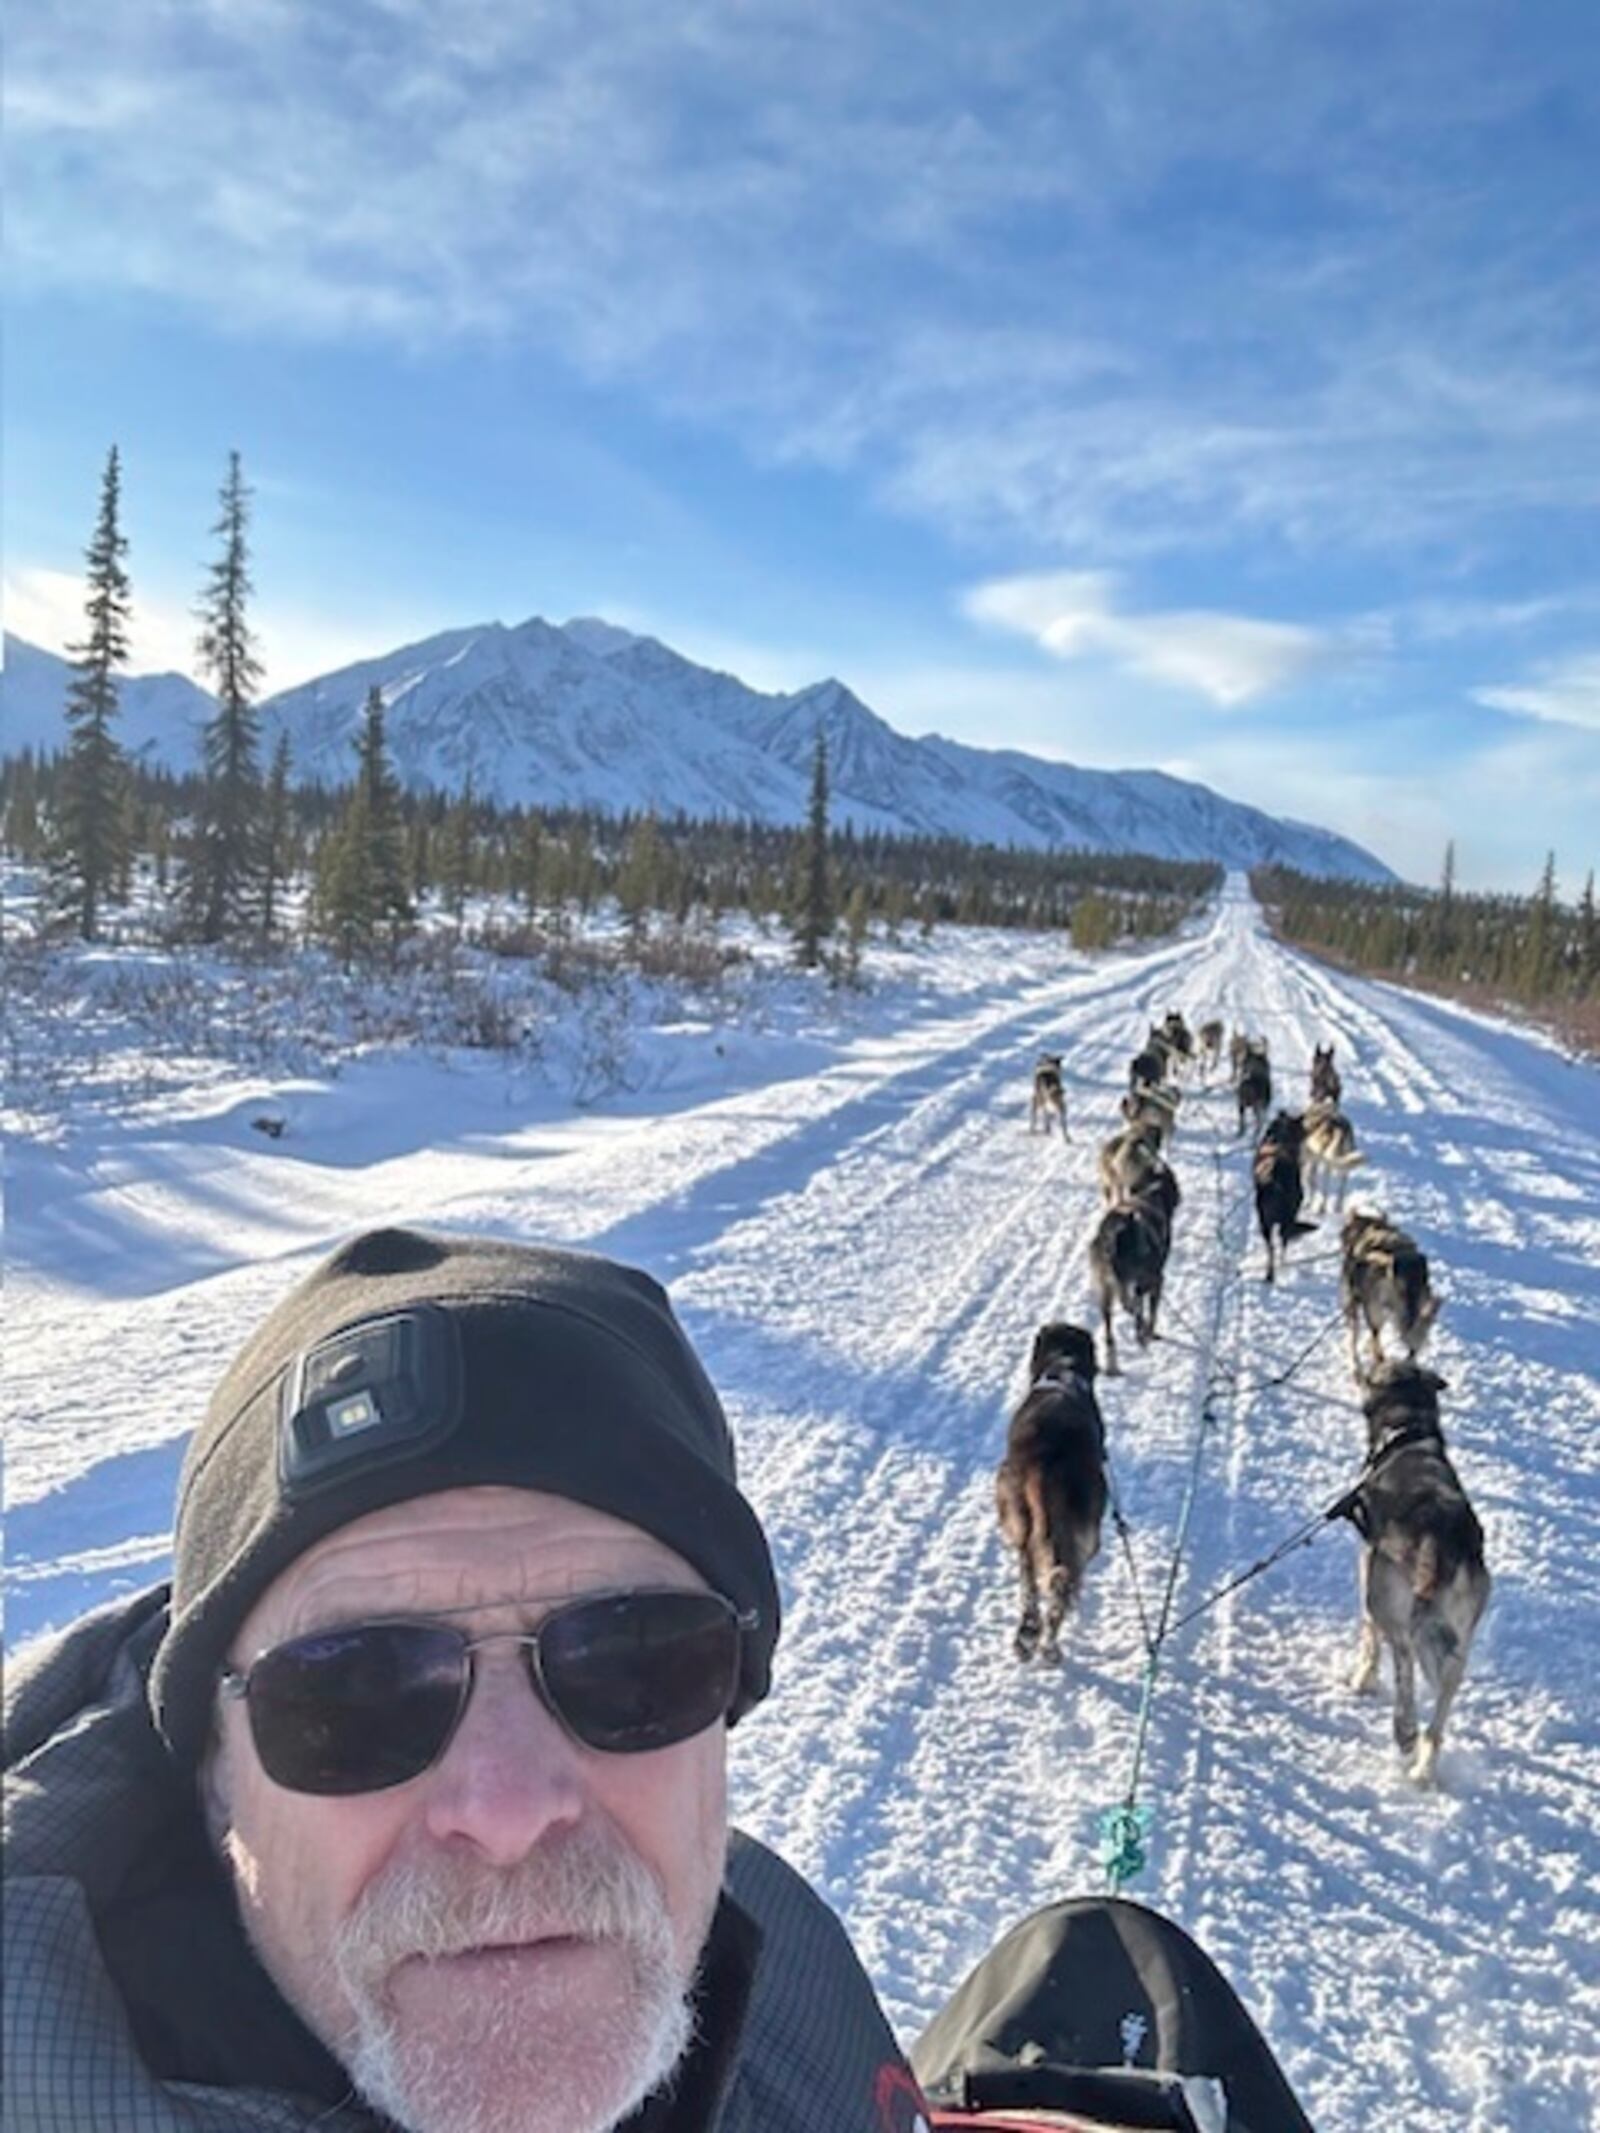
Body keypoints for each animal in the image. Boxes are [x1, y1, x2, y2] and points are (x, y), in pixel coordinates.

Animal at [998, 1313, 1109, 1663]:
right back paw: (1042, 1643)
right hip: (1080, 1534)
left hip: (1019, 1515)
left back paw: (1032, 1639)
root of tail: (1048, 1461)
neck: (1064, 1366)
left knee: (1033, 1581)